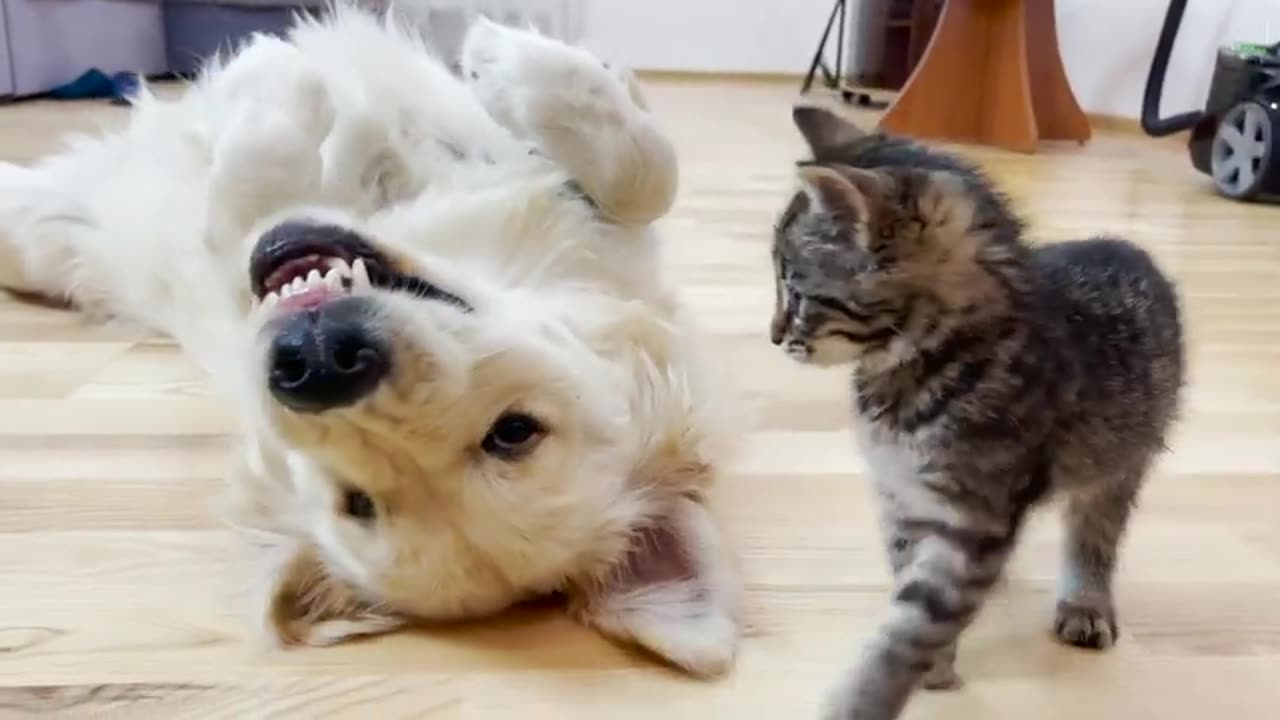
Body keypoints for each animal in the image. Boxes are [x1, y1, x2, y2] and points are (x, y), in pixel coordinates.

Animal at [0, 5, 747, 676]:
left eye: (511, 431)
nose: (319, 363)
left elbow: (245, 195)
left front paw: (282, 94)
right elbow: (646, 172)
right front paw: (503, 57)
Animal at [768, 107, 1177, 717]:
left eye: (794, 292)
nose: (774, 336)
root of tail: (1126, 247)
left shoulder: (973, 518)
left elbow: (911, 625)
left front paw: (867, 697)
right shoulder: (903, 501)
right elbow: (909, 584)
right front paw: (937, 665)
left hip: (1121, 461)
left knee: (1095, 534)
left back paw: (1085, 602)